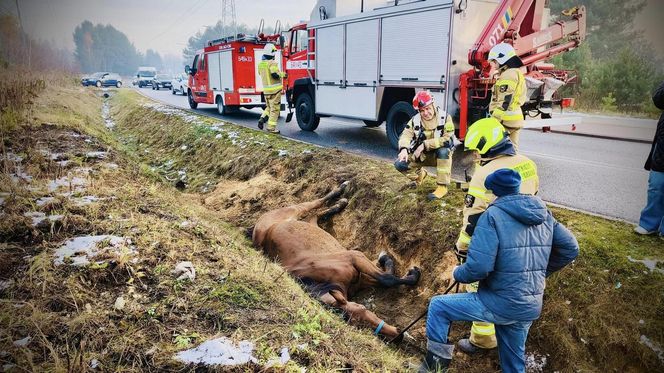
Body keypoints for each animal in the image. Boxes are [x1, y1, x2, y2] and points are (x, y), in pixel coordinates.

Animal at [254, 180, 420, 340]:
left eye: (364, 309)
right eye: (359, 325)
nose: (398, 336)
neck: (322, 279)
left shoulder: (355, 258)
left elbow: (386, 279)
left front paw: (403, 268)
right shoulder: (358, 278)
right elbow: (386, 279)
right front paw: (401, 268)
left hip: (295, 210)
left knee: (315, 205)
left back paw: (341, 193)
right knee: (316, 215)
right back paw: (340, 202)